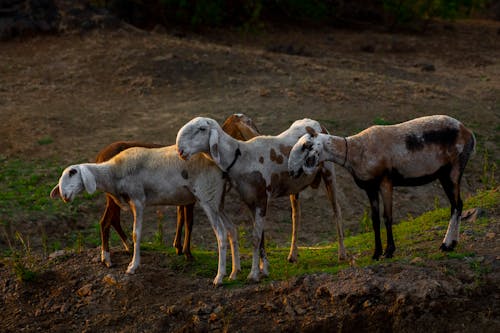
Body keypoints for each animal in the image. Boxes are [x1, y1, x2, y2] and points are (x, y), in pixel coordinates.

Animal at [49, 145, 241, 286]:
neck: (114, 172)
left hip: (207, 196)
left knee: (221, 234)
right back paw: (234, 272)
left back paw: (219, 277)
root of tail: (221, 168)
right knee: (232, 230)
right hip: (218, 201)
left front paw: (133, 266)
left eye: (72, 173)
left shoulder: (138, 200)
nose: (64, 196)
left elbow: (136, 234)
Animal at [92, 113, 260, 268]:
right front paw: (187, 253)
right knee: (105, 221)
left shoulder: (183, 198)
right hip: (113, 194)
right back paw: (107, 258)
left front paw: (178, 248)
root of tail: (100, 156)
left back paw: (127, 246)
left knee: (113, 219)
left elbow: (181, 219)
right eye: (248, 122)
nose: (258, 135)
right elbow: (189, 222)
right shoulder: (190, 200)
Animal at [177, 115, 348, 282]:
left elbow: (255, 238)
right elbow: (261, 239)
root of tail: (314, 122)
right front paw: (263, 269)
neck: (242, 158)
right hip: (295, 185)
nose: (180, 150)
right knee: (296, 216)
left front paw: (253, 274)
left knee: (337, 211)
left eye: (201, 128)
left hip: (328, 172)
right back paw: (292, 255)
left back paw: (342, 254)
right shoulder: (249, 201)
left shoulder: (261, 200)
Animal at [288, 114, 474, 260]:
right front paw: (376, 253)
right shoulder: (370, 188)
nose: (291, 171)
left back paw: (446, 244)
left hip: (454, 169)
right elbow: (375, 220)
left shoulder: (385, 182)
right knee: (456, 205)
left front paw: (389, 251)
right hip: (443, 174)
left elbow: (387, 217)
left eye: (306, 145)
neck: (354, 151)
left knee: (457, 205)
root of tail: (468, 132)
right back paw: (452, 243)